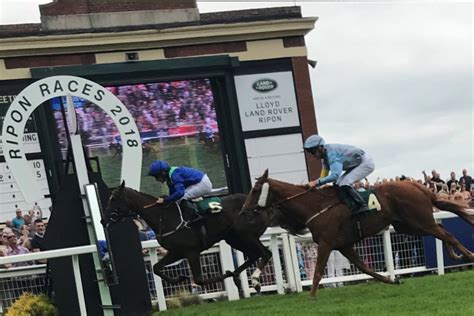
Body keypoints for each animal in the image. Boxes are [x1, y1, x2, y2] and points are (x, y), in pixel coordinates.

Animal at [102, 181, 276, 292]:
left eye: (114, 199)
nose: (102, 220)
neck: (164, 217)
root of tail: (262, 206)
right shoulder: (176, 252)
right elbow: (156, 268)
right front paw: (179, 278)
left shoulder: (191, 251)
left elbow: (199, 279)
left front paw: (225, 274)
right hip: (233, 238)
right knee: (254, 255)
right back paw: (237, 277)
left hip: (246, 235)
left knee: (265, 253)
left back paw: (253, 281)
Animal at [243, 170, 472, 296]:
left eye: (255, 190)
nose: (244, 210)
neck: (314, 205)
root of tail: (418, 186)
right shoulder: (343, 245)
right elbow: (364, 268)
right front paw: (393, 280)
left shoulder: (326, 242)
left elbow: (317, 272)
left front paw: (311, 297)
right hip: (408, 225)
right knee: (442, 231)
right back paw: (457, 255)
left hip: (419, 221)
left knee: (446, 234)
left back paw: (468, 255)